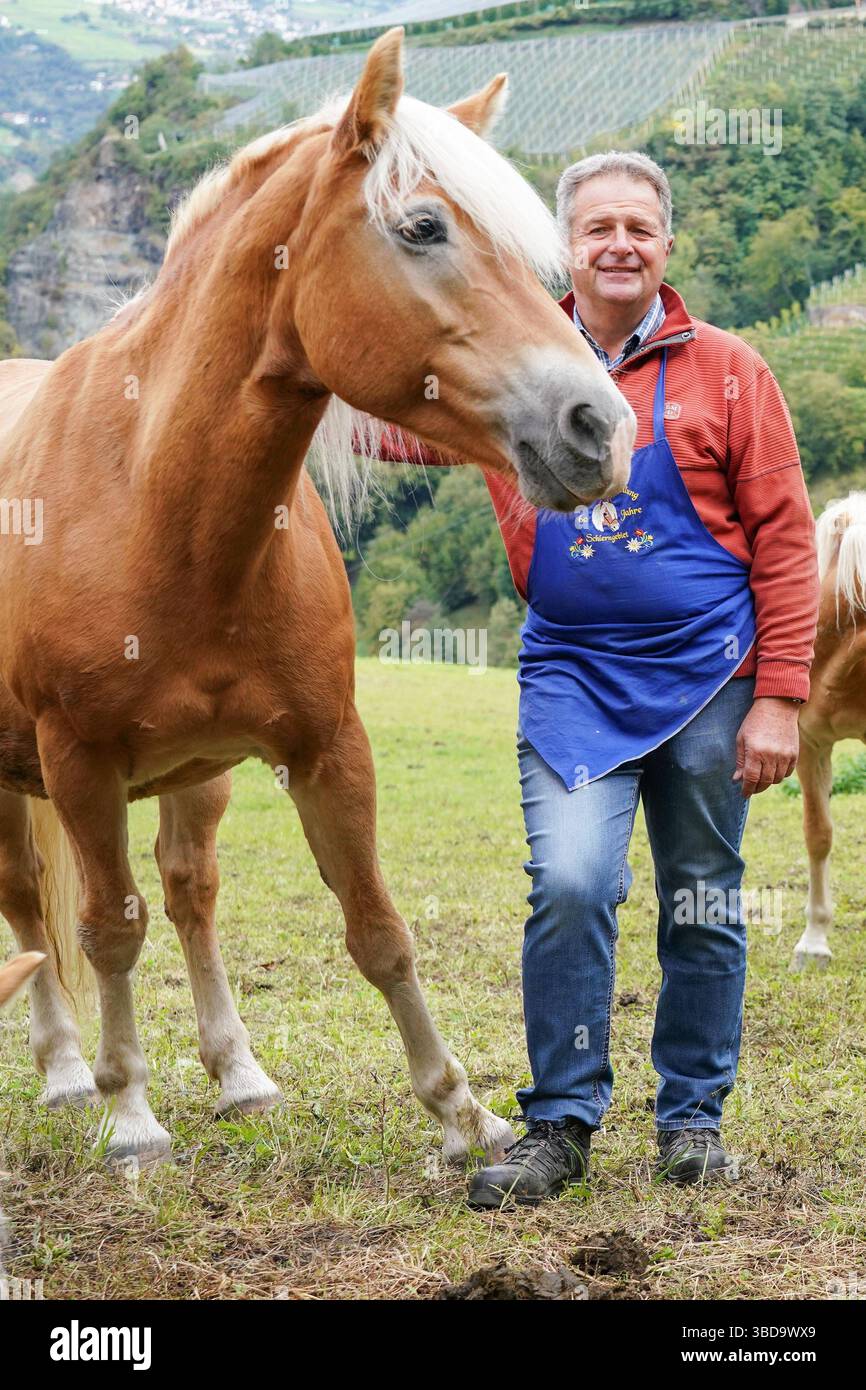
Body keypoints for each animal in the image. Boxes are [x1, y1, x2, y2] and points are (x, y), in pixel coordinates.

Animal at [0, 27, 635, 1166]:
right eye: (422, 226)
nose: (599, 427)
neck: (152, 498)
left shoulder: (328, 745)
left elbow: (377, 929)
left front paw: (460, 1112)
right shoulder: (79, 764)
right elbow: (108, 929)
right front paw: (131, 1117)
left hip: (195, 773)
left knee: (190, 891)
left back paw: (239, 1074)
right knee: (35, 900)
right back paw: (71, 1072)